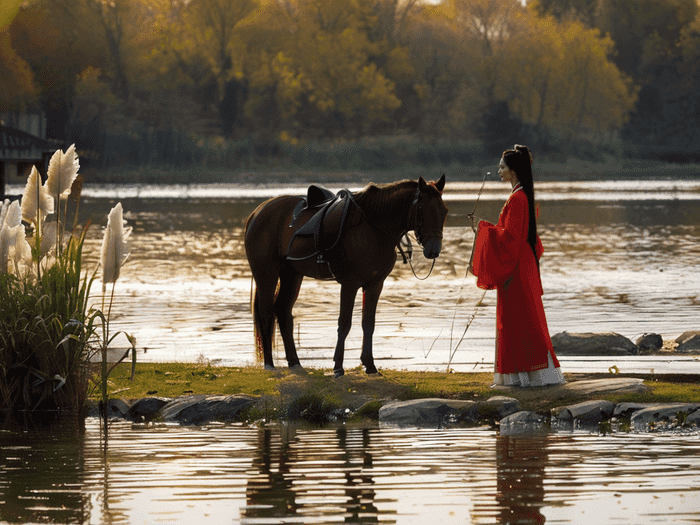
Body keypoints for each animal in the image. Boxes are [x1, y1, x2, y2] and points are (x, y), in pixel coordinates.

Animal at [243, 176, 446, 376]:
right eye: (422, 210)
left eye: (444, 211)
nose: (434, 251)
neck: (372, 227)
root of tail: (258, 212)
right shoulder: (350, 284)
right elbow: (344, 323)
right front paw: (338, 367)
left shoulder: (375, 285)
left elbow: (368, 324)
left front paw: (370, 365)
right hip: (266, 274)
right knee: (266, 313)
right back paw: (269, 364)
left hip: (292, 274)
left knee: (283, 312)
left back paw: (295, 363)